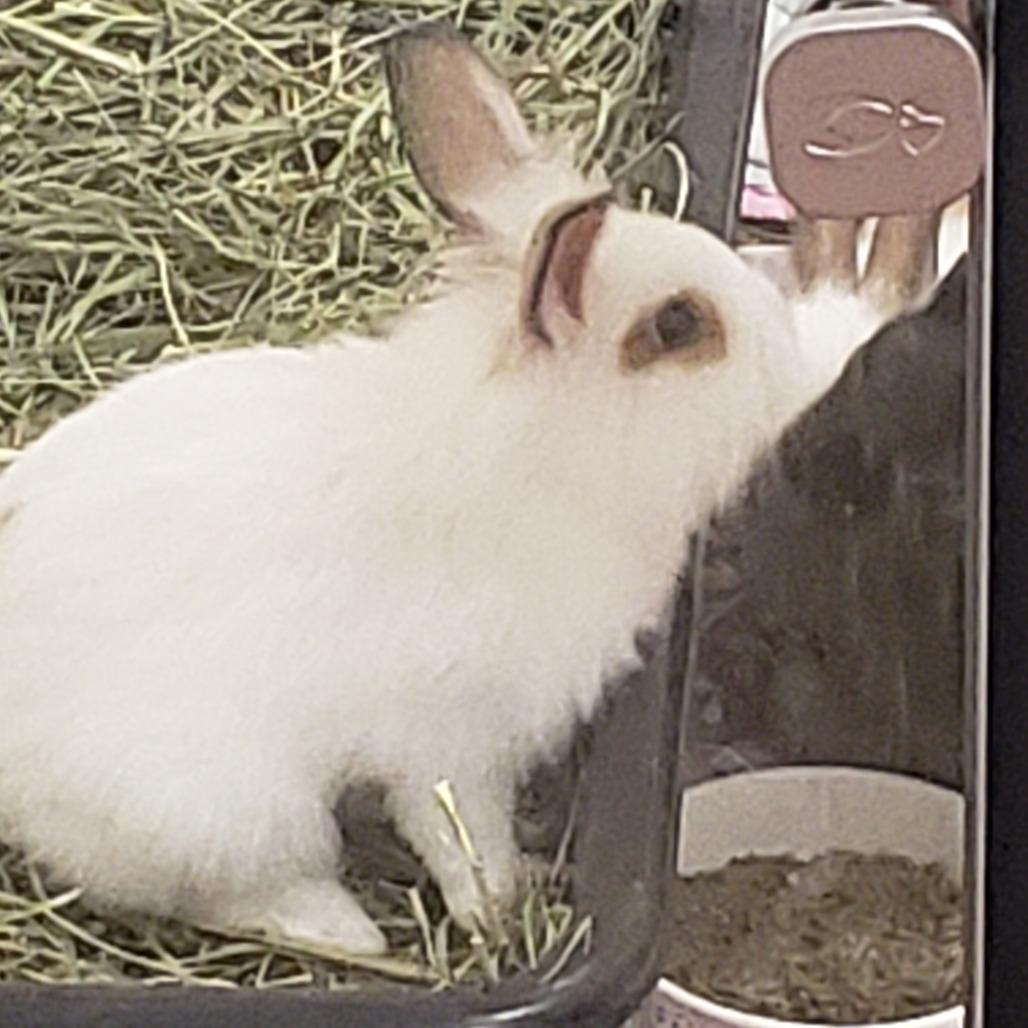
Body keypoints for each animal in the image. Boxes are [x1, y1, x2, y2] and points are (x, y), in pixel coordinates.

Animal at [0, 23, 949, 956]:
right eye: (680, 325)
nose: (788, 363)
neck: (533, 456)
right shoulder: (448, 739)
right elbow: (458, 831)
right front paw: (503, 905)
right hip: (230, 805)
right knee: (216, 889)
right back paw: (346, 930)